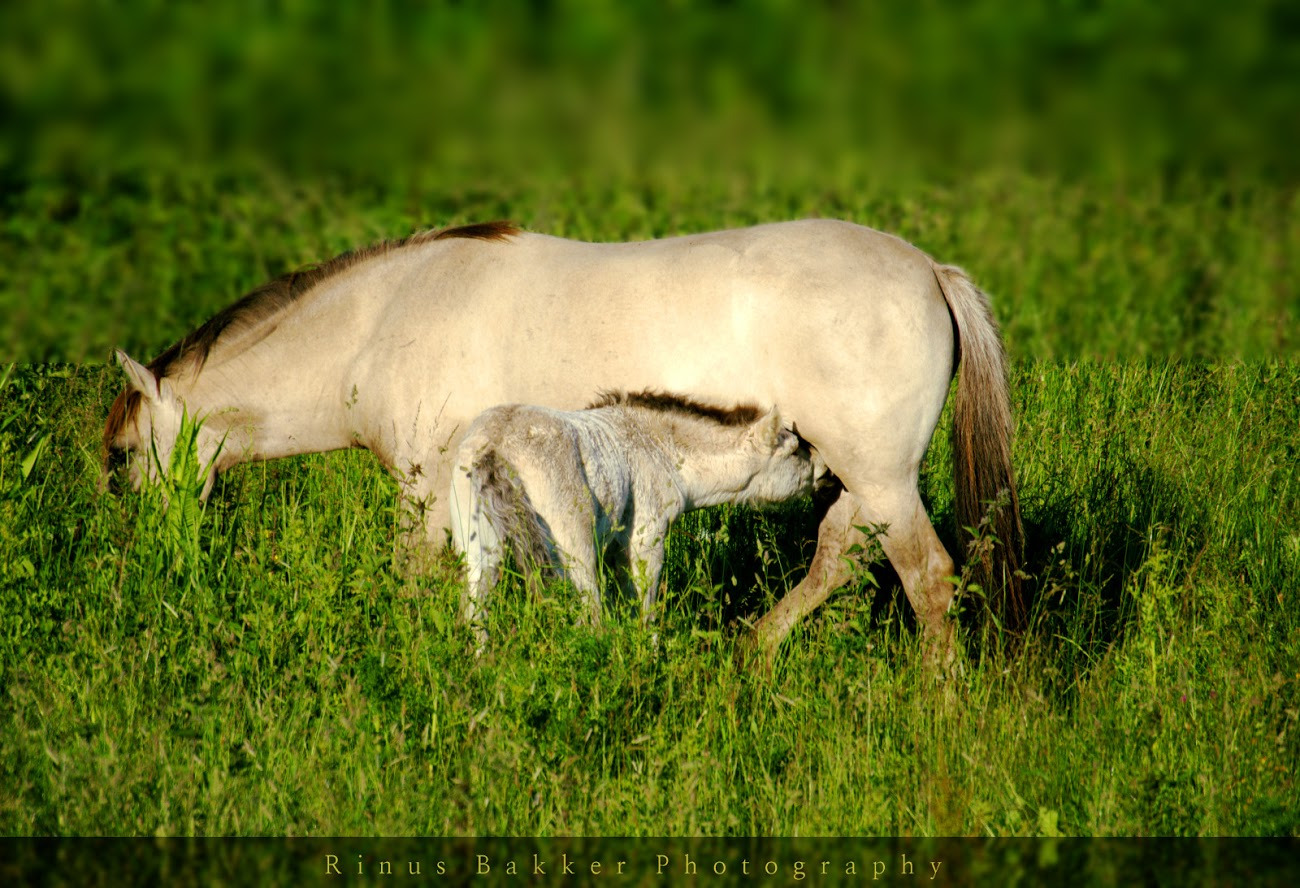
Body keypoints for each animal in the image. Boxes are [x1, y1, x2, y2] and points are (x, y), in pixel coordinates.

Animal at [452, 392, 816, 650]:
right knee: (590, 615)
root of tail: (495, 447)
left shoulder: (617, 549)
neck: (657, 447)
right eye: (795, 451)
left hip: (480, 550)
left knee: (476, 613)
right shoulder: (646, 540)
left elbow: (627, 600)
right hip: (573, 551)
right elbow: (646, 604)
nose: (826, 471)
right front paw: (650, 656)